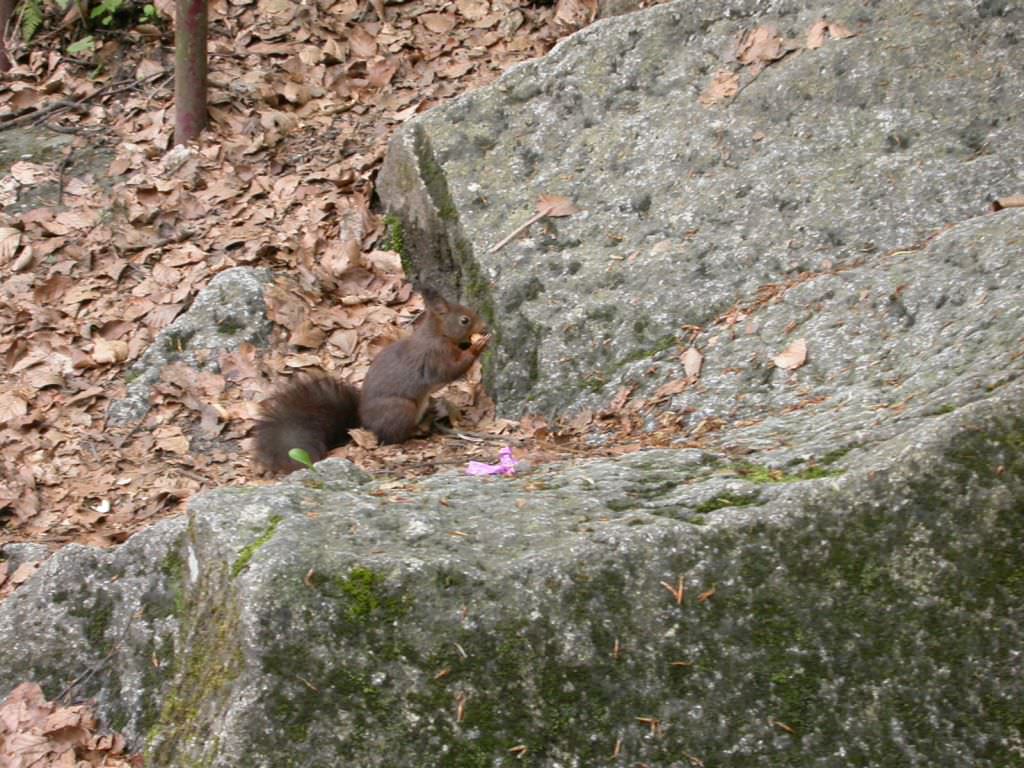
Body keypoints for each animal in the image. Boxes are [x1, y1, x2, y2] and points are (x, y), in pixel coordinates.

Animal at [249, 288, 485, 475]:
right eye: (464, 320)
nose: (482, 327)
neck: (439, 334)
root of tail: (363, 424)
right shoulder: (435, 356)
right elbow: (449, 371)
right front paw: (477, 347)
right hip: (401, 408)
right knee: (392, 437)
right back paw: (416, 433)